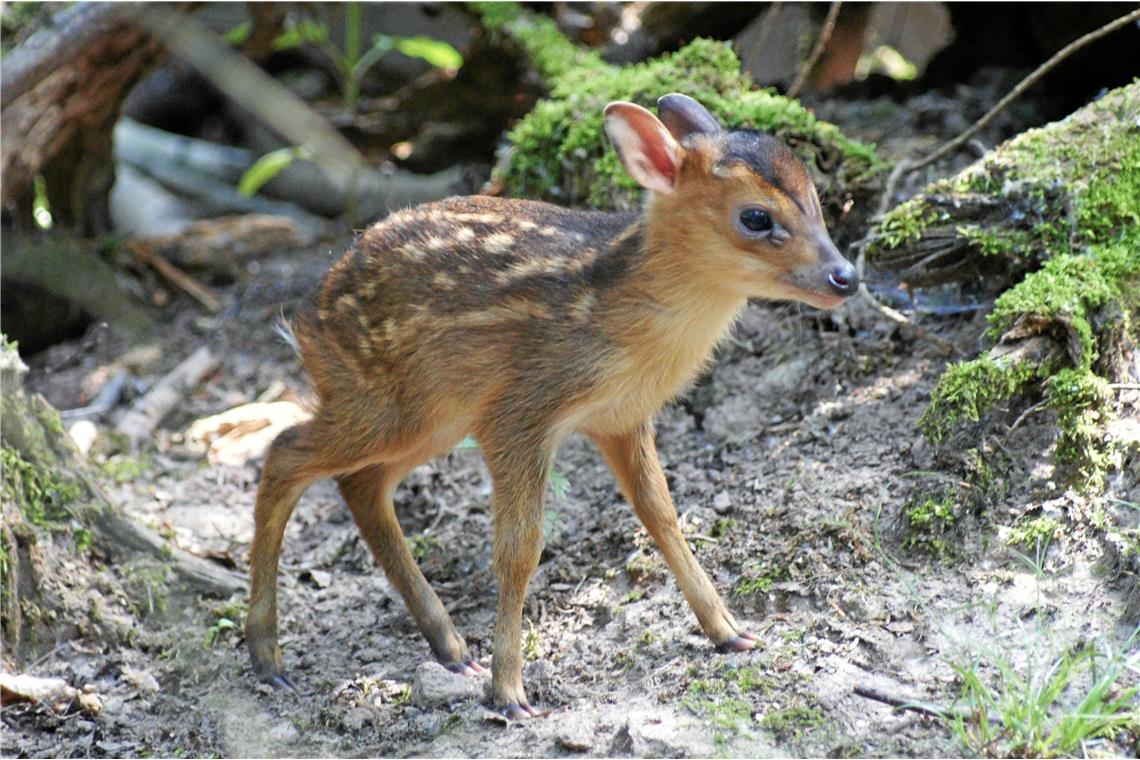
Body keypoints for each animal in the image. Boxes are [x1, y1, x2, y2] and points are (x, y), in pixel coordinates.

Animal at [247, 92, 857, 715]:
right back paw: (269, 658)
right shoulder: (519, 412)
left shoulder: (623, 417)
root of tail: (304, 322)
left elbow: (661, 514)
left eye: (817, 199)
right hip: (381, 401)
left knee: (360, 483)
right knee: (285, 452)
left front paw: (729, 631)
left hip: (433, 417)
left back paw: (450, 648)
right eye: (756, 217)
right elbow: (520, 548)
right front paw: (510, 692)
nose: (846, 277)